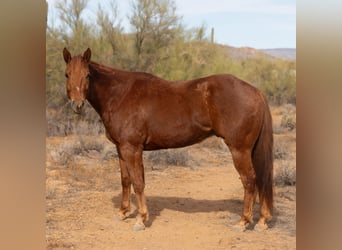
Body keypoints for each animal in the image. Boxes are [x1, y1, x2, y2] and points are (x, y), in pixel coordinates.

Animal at [62, 47, 274, 231]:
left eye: (87, 75)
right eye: (67, 74)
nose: (77, 105)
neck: (120, 94)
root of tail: (256, 91)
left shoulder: (132, 148)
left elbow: (138, 182)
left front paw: (140, 220)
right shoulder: (121, 148)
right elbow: (125, 180)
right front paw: (123, 212)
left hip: (239, 150)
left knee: (249, 181)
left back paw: (243, 222)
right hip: (250, 150)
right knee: (261, 180)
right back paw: (262, 221)